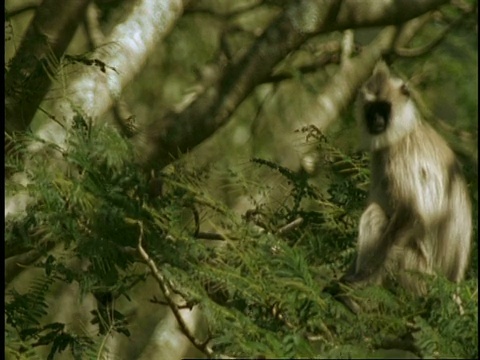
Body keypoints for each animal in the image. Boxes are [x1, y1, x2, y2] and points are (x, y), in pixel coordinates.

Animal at [344, 60, 472, 294]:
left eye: (383, 108)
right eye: (371, 109)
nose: (376, 120)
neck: (405, 129)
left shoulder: (399, 153)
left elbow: (411, 213)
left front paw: (361, 280)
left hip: (414, 271)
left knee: (375, 214)